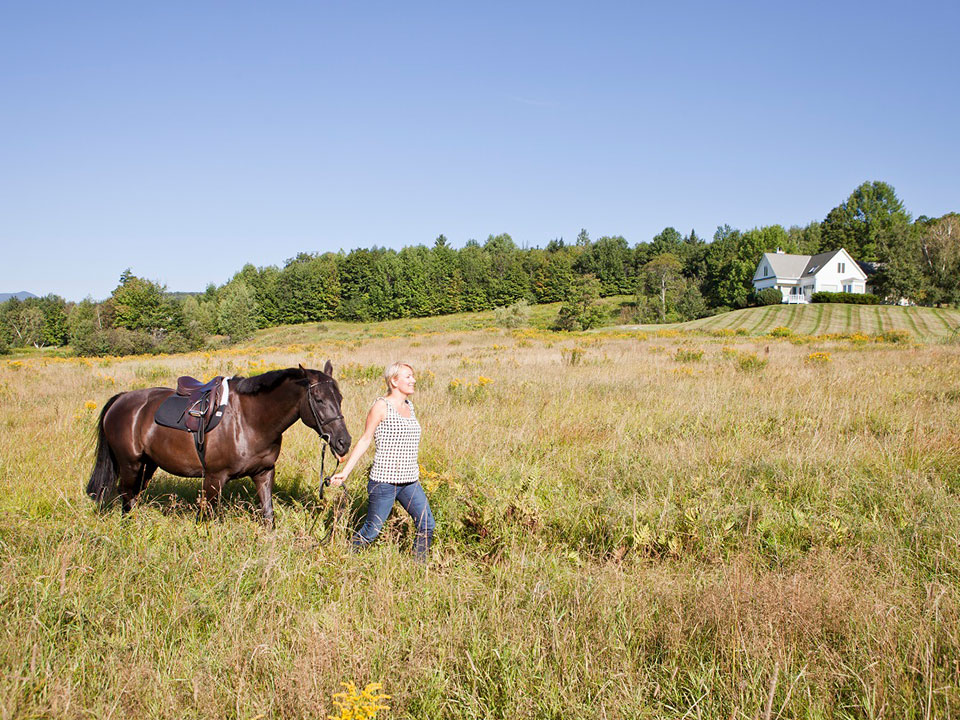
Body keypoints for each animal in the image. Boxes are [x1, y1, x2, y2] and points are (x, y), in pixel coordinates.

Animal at [87, 362, 352, 524]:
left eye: (340, 398)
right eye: (318, 399)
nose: (344, 441)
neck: (249, 420)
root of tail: (122, 399)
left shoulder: (264, 473)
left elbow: (268, 516)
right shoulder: (214, 479)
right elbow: (206, 520)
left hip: (148, 465)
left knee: (133, 496)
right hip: (130, 465)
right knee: (126, 497)